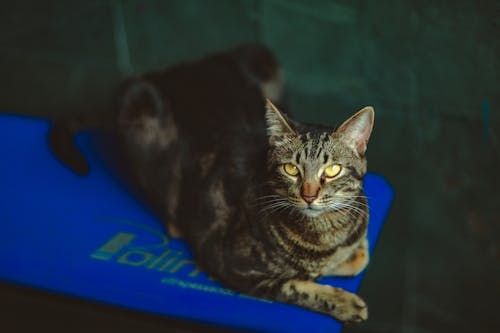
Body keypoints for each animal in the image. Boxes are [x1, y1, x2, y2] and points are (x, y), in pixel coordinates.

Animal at [48, 44, 374, 322]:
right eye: (292, 169)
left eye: (332, 170)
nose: (309, 195)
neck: (324, 234)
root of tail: (173, 70)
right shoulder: (227, 261)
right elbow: (295, 284)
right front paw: (343, 301)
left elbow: (359, 256)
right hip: (138, 104)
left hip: (261, 55)